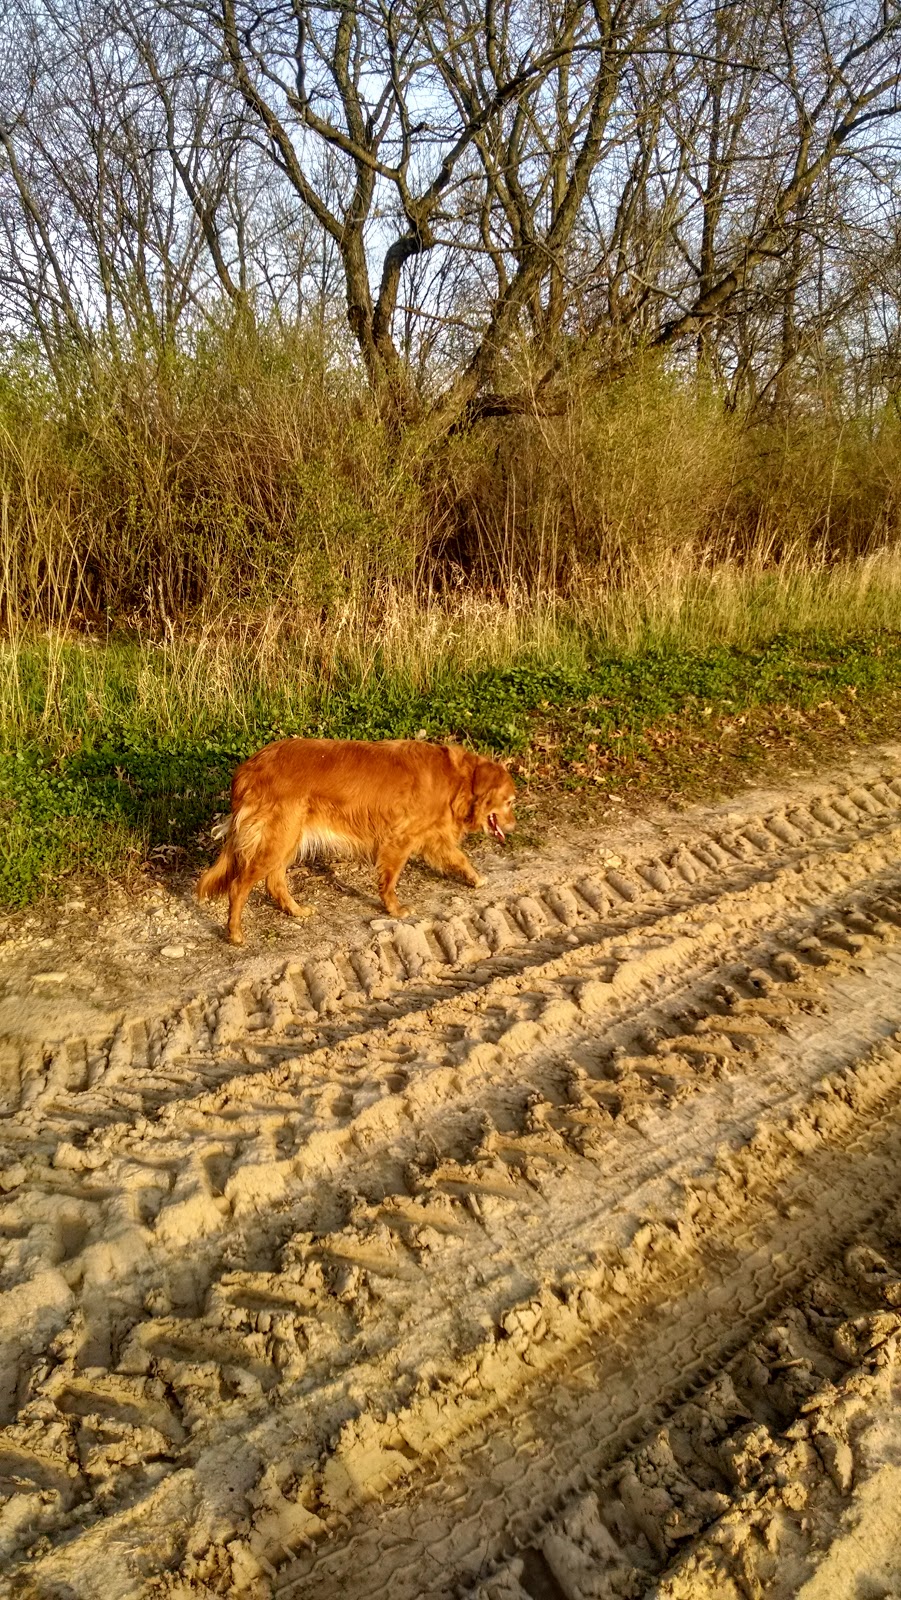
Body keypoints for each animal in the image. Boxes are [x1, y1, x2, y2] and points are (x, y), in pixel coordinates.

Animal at [200, 732, 518, 934]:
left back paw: (296, 911)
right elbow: (389, 880)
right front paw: (394, 909)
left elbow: (460, 858)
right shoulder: (399, 839)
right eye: (510, 801)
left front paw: (476, 878)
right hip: (278, 839)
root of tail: (247, 769)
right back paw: (235, 933)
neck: (458, 780)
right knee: (238, 886)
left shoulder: (432, 837)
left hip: (287, 839)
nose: (513, 826)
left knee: (274, 883)